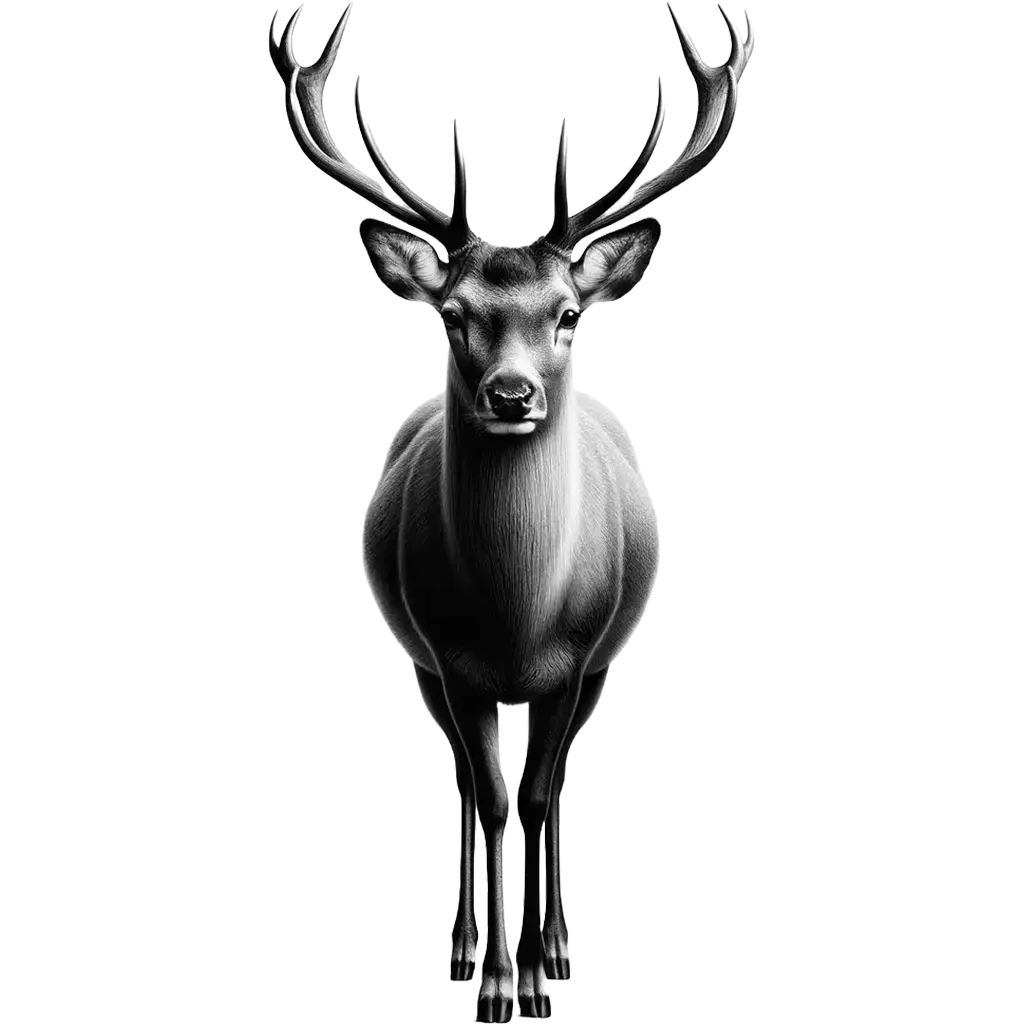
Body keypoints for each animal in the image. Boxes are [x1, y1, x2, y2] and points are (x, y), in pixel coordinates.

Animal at [268, 3, 753, 1019]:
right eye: (452, 313)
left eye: (568, 312)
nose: (512, 394)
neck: (518, 615)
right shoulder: (447, 658)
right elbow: (489, 796)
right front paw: (493, 983)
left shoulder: (581, 657)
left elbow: (534, 796)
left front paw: (536, 976)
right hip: (424, 663)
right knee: (463, 776)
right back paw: (464, 941)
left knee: (553, 780)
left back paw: (559, 942)